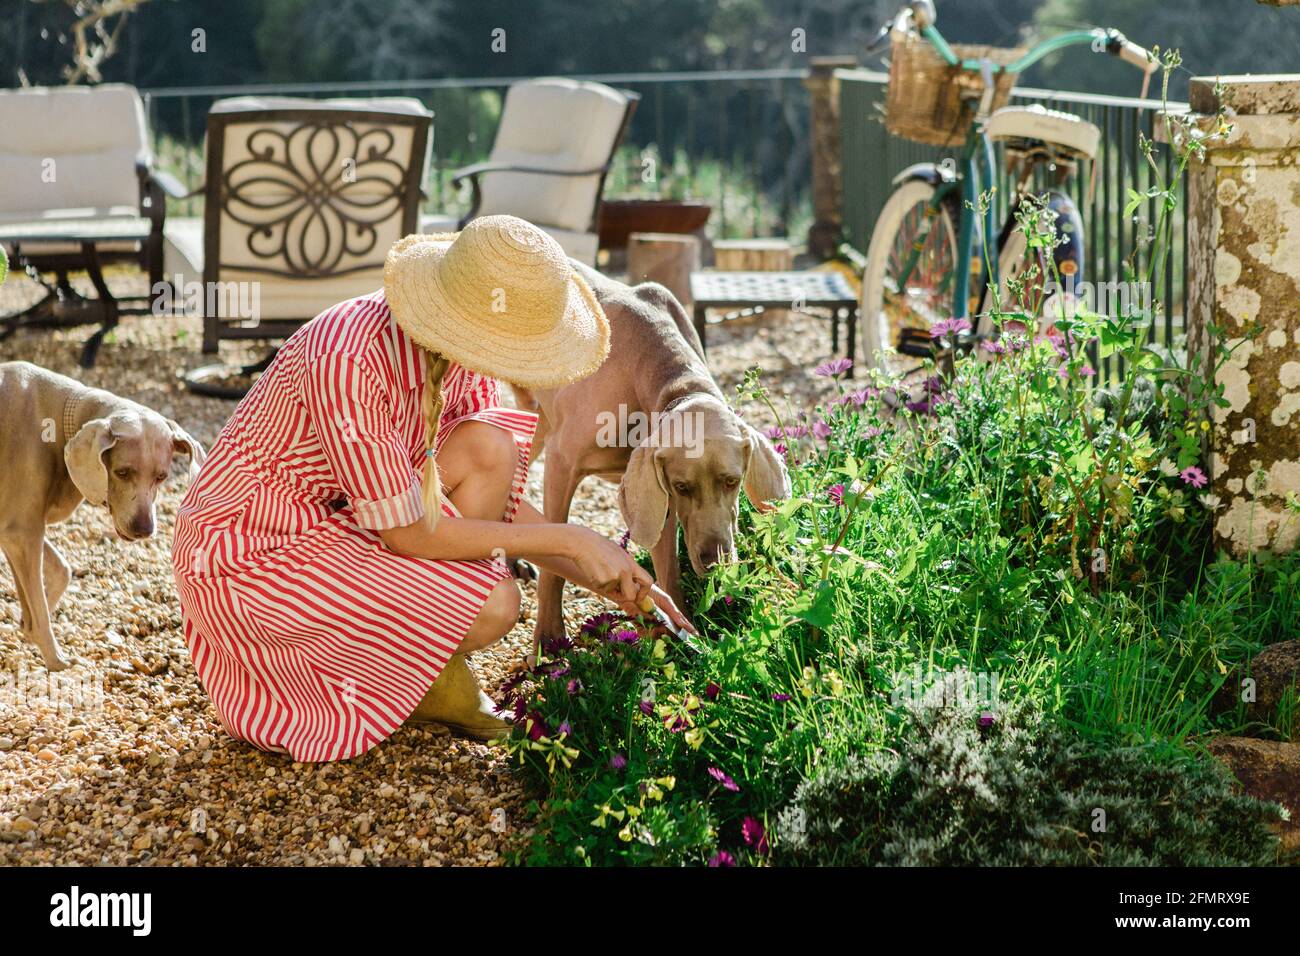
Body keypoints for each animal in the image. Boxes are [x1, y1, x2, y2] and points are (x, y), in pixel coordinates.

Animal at [0, 361, 204, 671]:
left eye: (162, 477)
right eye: (122, 472)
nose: (144, 529)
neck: (63, 415)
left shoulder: (15, 528)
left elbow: (58, 575)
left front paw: (28, 627)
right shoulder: (21, 532)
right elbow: (40, 601)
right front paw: (56, 659)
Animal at [512, 264, 785, 642]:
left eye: (732, 481)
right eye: (684, 486)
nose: (714, 562)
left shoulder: (656, 492)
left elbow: (666, 568)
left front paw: (676, 633)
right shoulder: (562, 464)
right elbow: (557, 557)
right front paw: (549, 638)